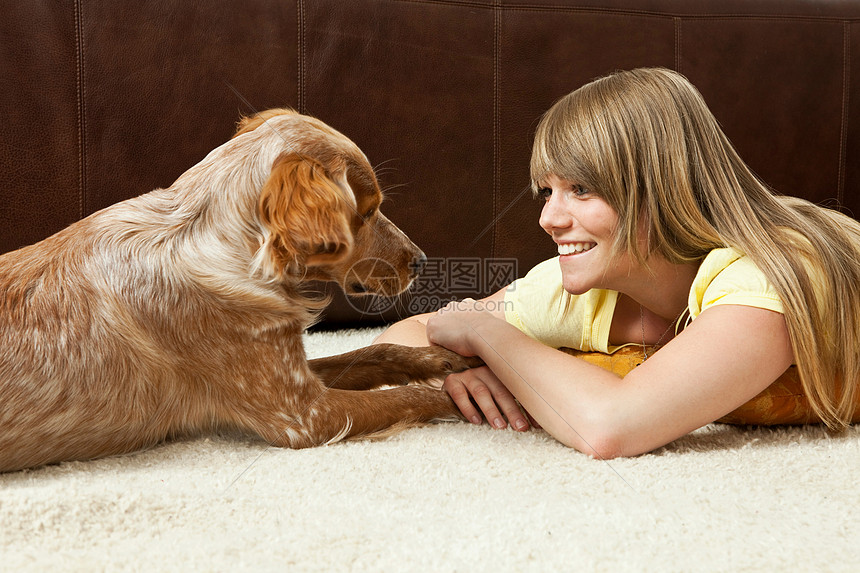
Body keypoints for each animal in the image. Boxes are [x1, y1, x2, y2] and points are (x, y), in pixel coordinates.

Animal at [0, 109, 470, 472]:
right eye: (368, 212)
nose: (421, 260)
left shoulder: (289, 369)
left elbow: (375, 352)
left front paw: (441, 358)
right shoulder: (304, 414)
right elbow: (414, 396)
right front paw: (466, 398)